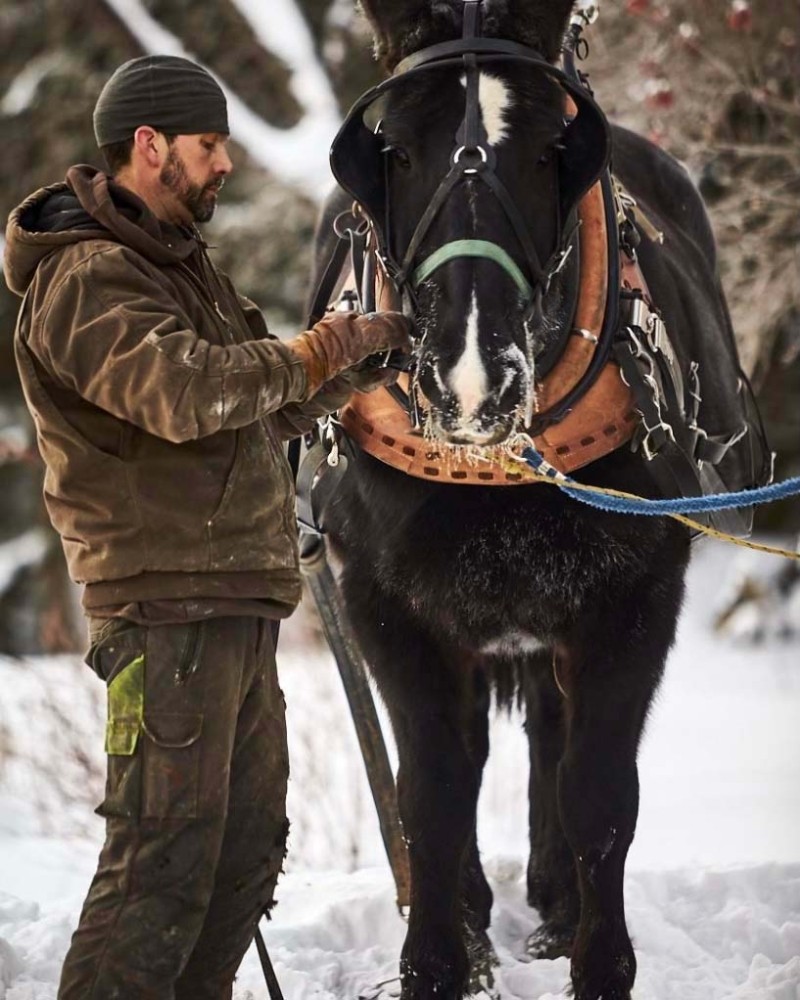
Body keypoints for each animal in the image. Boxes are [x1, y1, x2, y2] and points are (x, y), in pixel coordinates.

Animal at [310, 1, 764, 1000]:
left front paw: (599, 963)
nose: (472, 378)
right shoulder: (389, 604)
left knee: (553, 740)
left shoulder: (632, 596)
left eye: (554, 147)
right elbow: (432, 791)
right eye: (397, 149)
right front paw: (440, 962)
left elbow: (599, 790)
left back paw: (554, 905)